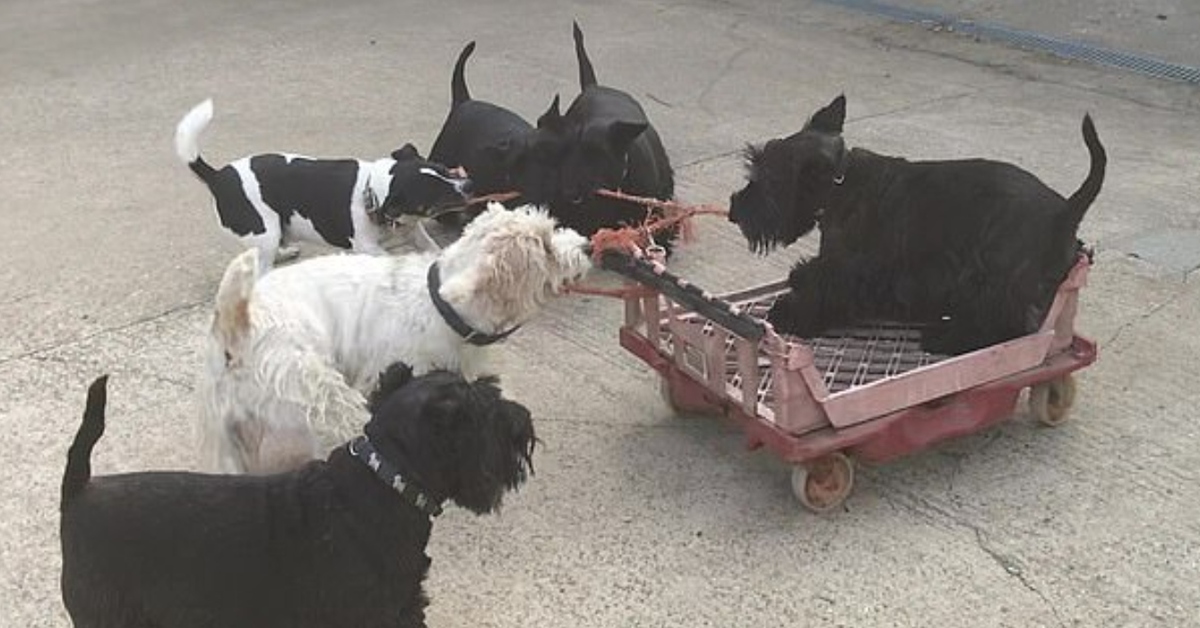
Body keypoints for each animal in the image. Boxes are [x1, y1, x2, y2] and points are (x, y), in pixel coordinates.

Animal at [175, 99, 472, 271]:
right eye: (434, 194)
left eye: (444, 168)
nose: (469, 185)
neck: (373, 192)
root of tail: (217, 177)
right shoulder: (367, 249)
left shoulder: (414, 231)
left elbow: (431, 246)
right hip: (265, 232)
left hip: (271, 234)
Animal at [199, 204, 592, 475]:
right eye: (545, 246)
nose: (588, 245)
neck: (441, 302)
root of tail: (236, 324)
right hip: (326, 401)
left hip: (227, 439)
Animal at [720, 96, 1104, 355]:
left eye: (769, 181)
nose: (733, 210)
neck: (839, 183)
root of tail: (1065, 211)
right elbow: (812, 273)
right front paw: (798, 280)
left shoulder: (850, 270)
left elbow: (825, 289)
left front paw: (791, 312)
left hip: (995, 281)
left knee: (1005, 323)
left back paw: (946, 338)